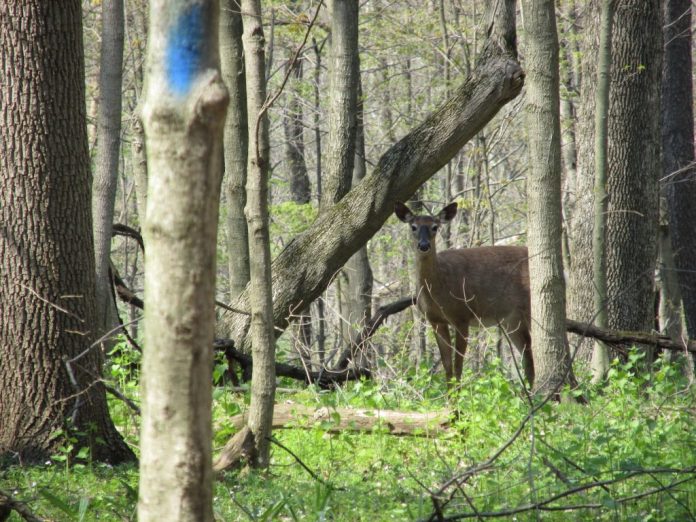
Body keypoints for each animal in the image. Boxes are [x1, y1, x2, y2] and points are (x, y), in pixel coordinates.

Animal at [394, 201, 534, 386]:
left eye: (435, 227)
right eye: (413, 227)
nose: (424, 246)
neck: (439, 291)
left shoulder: (462, 316)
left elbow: (458, 365)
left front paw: (458, 392)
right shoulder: (435, 320)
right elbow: (447, 366)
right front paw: (449, 393)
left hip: (528, 308)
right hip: (511, 320)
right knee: (528, 356)